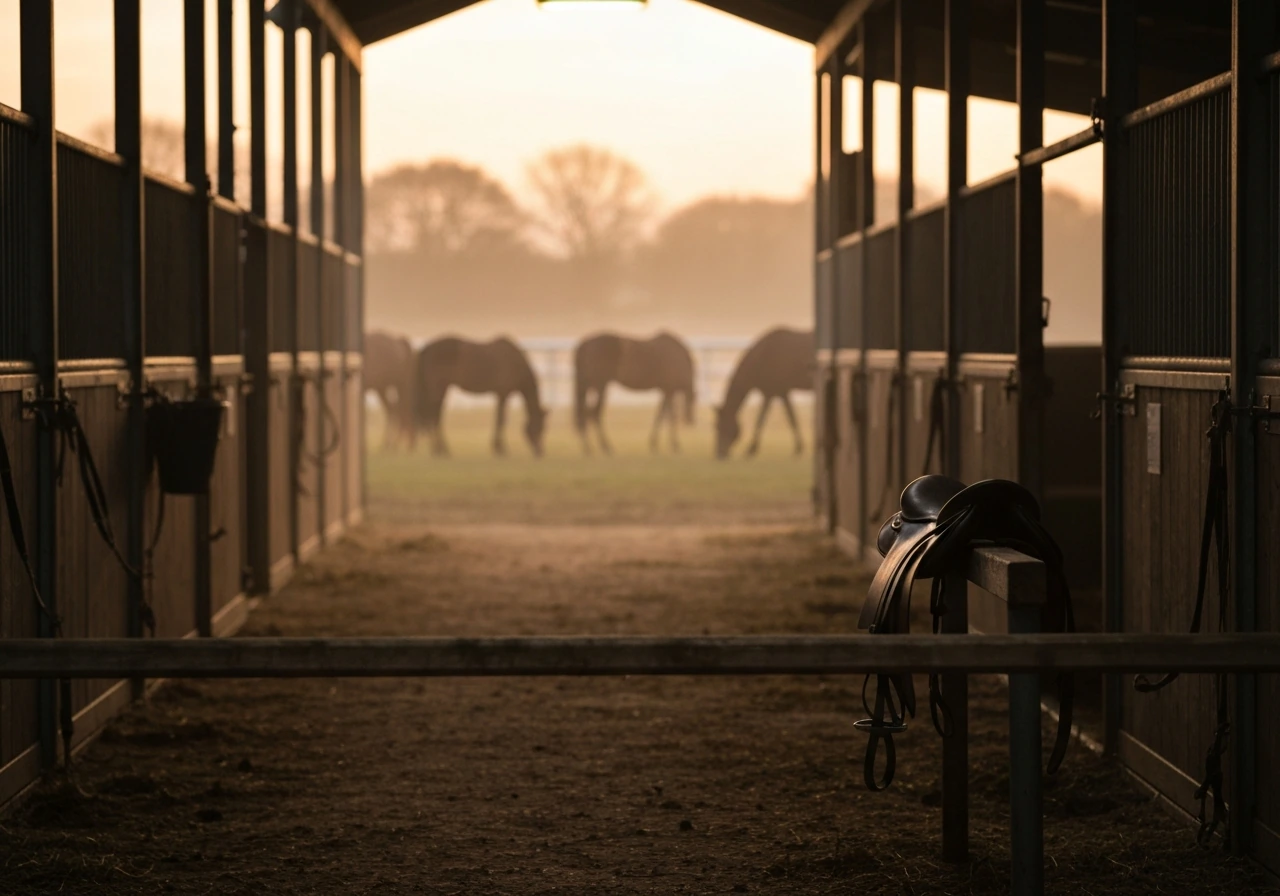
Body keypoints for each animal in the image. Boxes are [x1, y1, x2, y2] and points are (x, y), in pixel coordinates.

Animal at [414, 336, 549, 458]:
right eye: (539, 426)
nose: (540, 452)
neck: (515, 362)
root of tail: (427, 349)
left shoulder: (499, 395)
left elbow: (498, 418)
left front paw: (497, 448)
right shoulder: (503, 394)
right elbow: (501, 419)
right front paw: (500, 449)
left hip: (442, 389)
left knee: (435, 416)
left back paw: (439, 450)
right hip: (438, 389)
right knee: (433, 416)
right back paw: (439, 450)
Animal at [714, 327, 813, 459]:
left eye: (722, 426)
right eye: (715, 426)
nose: (719, 454)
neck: (763, 356)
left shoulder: (772, 393)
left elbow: (761, 420)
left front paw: (750, 449)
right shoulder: (778, 392)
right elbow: (790, 418)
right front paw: (799, 447)